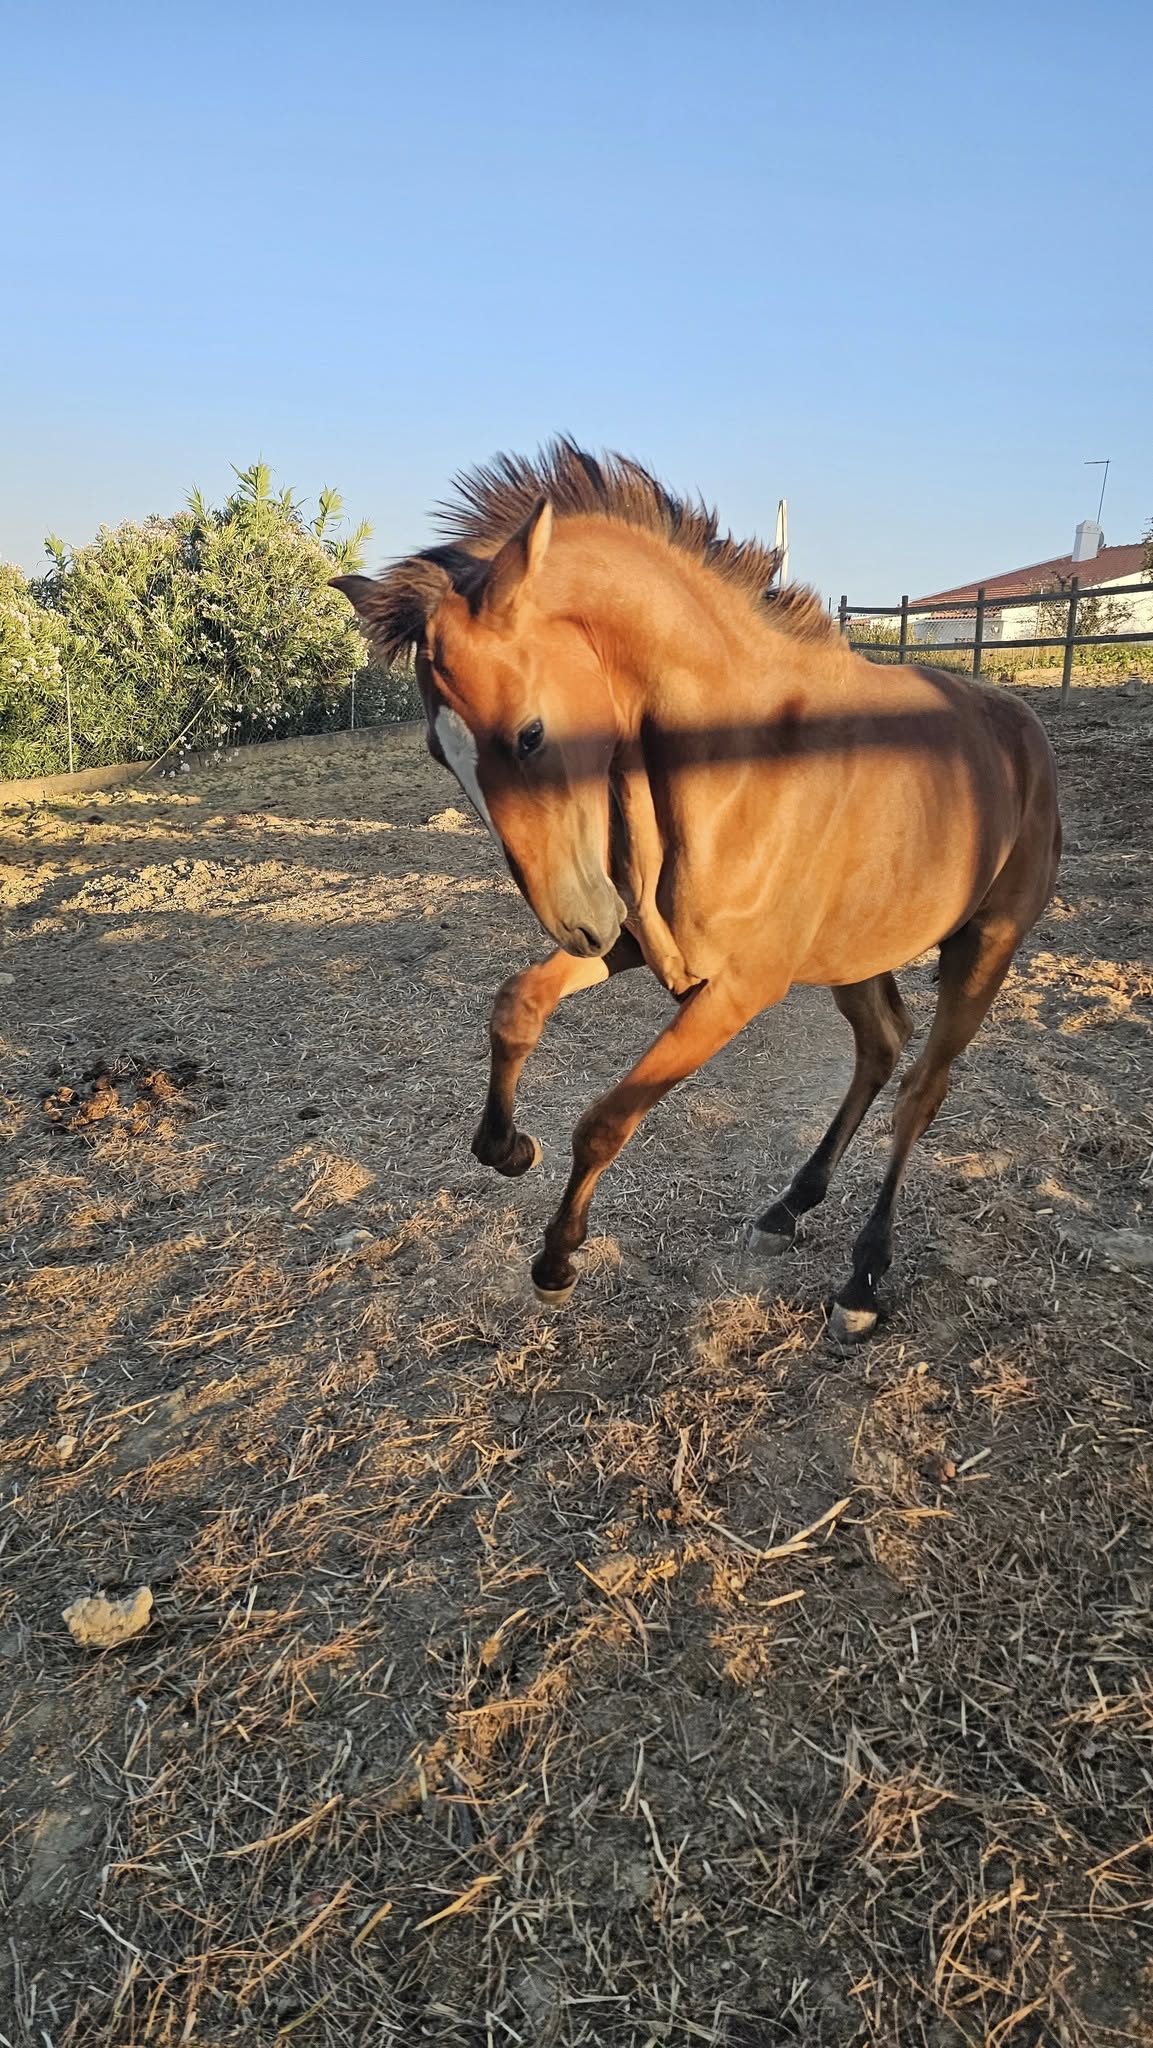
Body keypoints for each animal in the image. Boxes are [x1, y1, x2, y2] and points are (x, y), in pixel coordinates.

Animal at [333, 441, 1060, 1342]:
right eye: (440, 754)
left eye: (530, 734)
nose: (577, 925)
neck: (736, 757)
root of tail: (1023, 729)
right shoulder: (644, 941)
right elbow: (516, 1006)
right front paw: (506, 1148)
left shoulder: (735, 990)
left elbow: (605, 1119)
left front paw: (557, 1260)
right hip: (854, 952)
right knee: (881, 1046)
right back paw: (790, 1205)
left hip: (984, 947)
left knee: (921, 1087)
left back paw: (862, 1278)